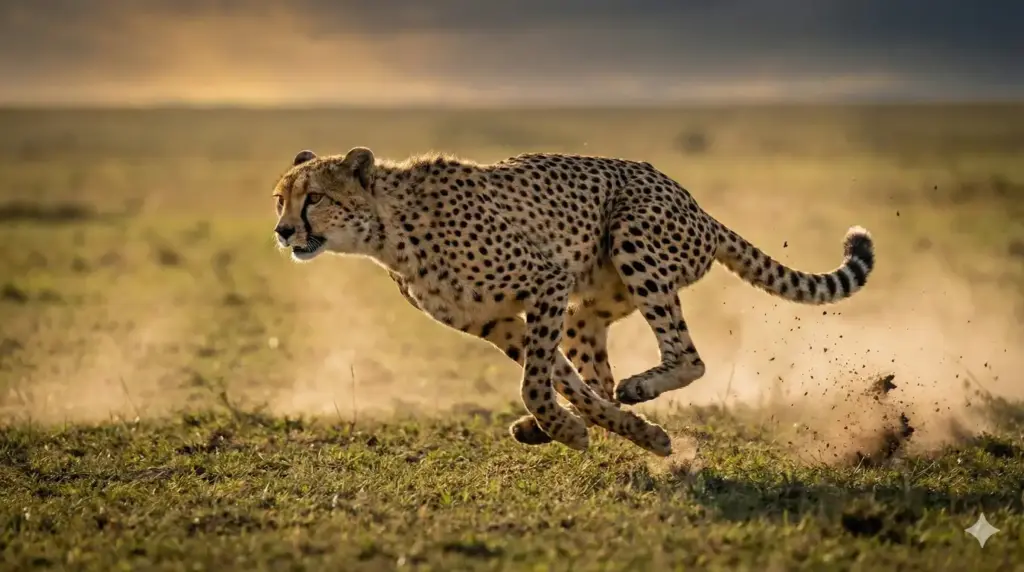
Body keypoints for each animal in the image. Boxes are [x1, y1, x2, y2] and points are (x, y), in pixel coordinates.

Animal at [271, 146, 875, 455]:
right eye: (280, 198)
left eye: (314, 198)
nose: (282, 231)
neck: (387, 230)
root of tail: (698, 207)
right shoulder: (501, 322)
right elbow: (560, 383)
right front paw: (634, 434)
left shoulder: (545, 283)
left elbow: (536, 383)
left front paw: (569, 428)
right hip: (590, 308)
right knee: (599, 377)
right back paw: (593, 416)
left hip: (635, 240)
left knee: (687, 357)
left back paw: (638, 388)